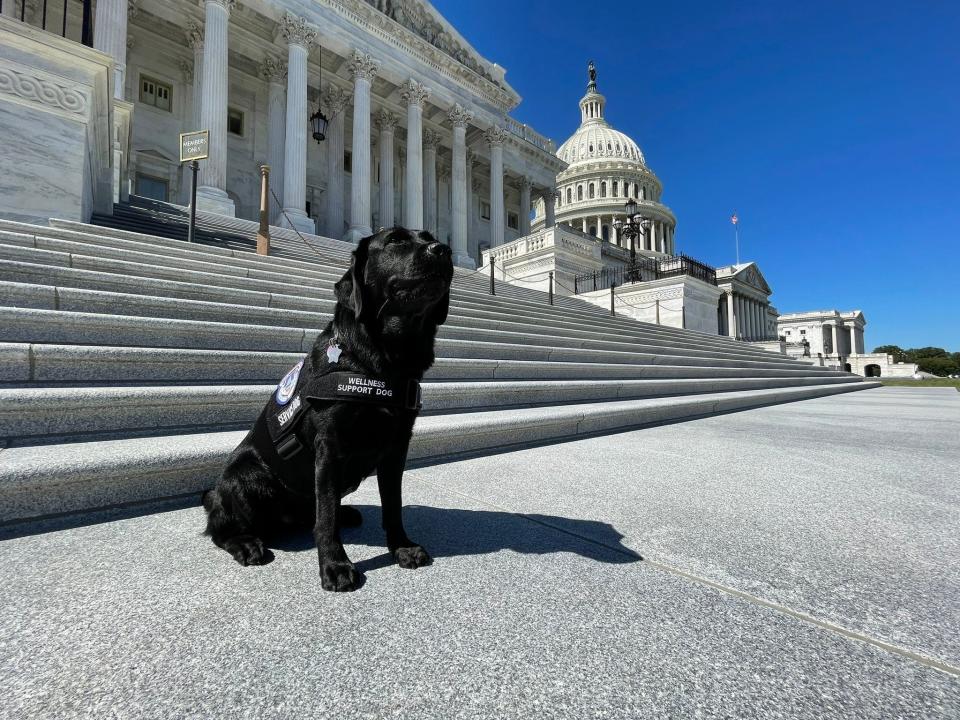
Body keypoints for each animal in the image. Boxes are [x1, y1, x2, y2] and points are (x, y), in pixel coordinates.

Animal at [202, 229, 454, 592]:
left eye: (429, 237)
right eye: (396, 241)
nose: (444, 250)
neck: (385, 360)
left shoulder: (397, 447)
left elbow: (392, 506)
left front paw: (401, 547)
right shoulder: (330, 446)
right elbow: (327, 519)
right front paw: (335, 565)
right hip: (244, 473)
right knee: (221, 528)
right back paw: (246, 543)